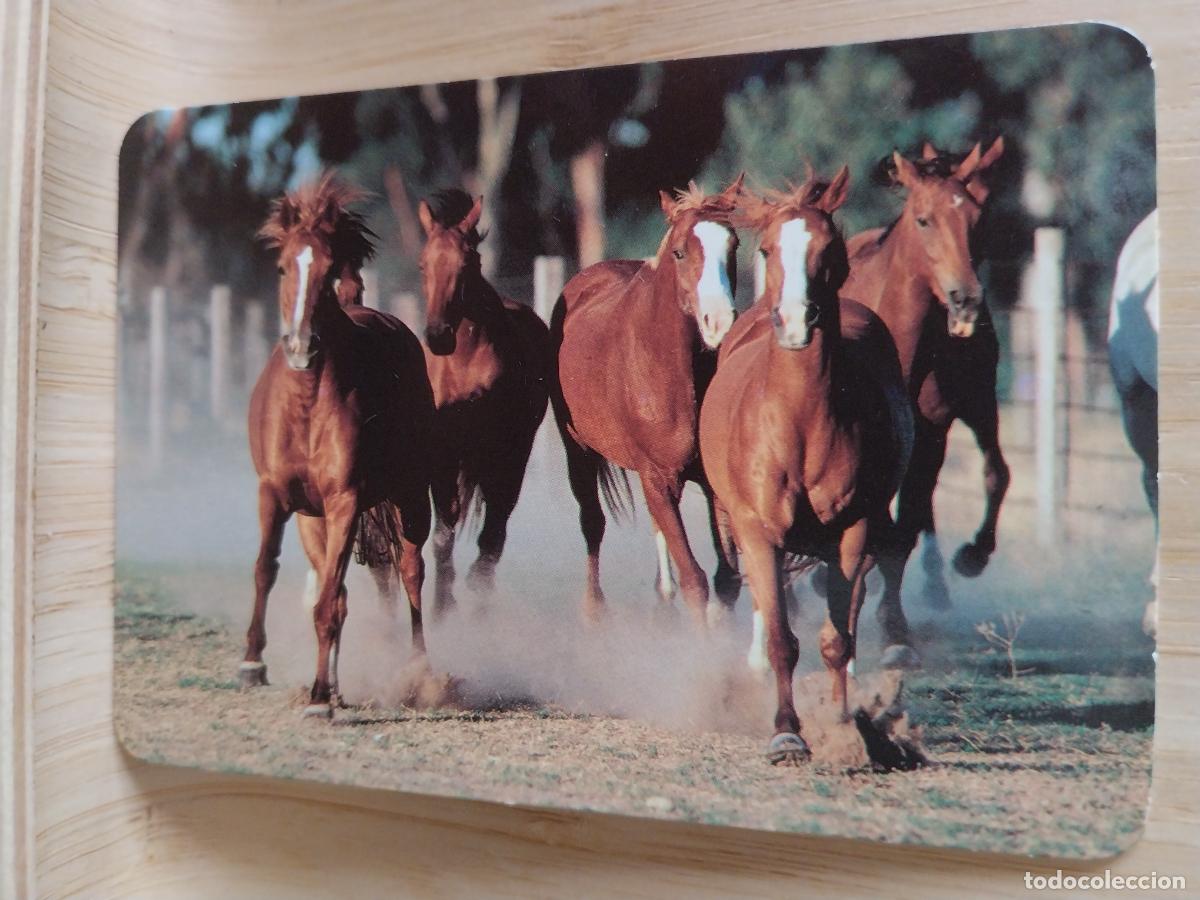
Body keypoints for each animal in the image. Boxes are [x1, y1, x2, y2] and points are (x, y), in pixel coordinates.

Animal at [241, 173, 436, 718]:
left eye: (328, 271)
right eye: (283, 266)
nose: (301, 346)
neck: (306, 408)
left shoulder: (345, 500)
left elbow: (329, 601)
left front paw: (319, 698)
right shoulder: (275, 495)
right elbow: (266, 570)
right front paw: (252, 663)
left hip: (410, 499)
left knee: (412, 572)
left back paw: (419, 673)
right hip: (316, 521)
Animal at [416, 188, 551, 612]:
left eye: (466, 263)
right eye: (423, 263)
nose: (438, 335)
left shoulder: (499, 451)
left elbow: (491, 531)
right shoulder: (442, 452)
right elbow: (442, 532)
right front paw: (442, 607)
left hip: (514, 455)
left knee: (497, 524)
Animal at [550, 176, 743, 625]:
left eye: (734, 246)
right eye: (679, 251)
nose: (719, 322)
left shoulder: (710, 484)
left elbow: (727, 581)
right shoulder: (658, 478)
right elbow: (695, 581)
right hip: (577, 449)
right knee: (593, 521)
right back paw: (594, 609)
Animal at [699, 169, 913, 764]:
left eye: (829, 248)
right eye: (767, 249)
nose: (796, 321)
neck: (799, 423)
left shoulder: (852, 532)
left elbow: (836, 639)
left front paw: (842, 726)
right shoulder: (756, 531)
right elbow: (781, 639)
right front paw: (786, 732)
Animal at [839, 139, 1006, 667]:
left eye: (976, 216)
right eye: (924, 219)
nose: (966, 298)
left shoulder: (939, 426)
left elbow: (907, 527)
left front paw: (895, 630)